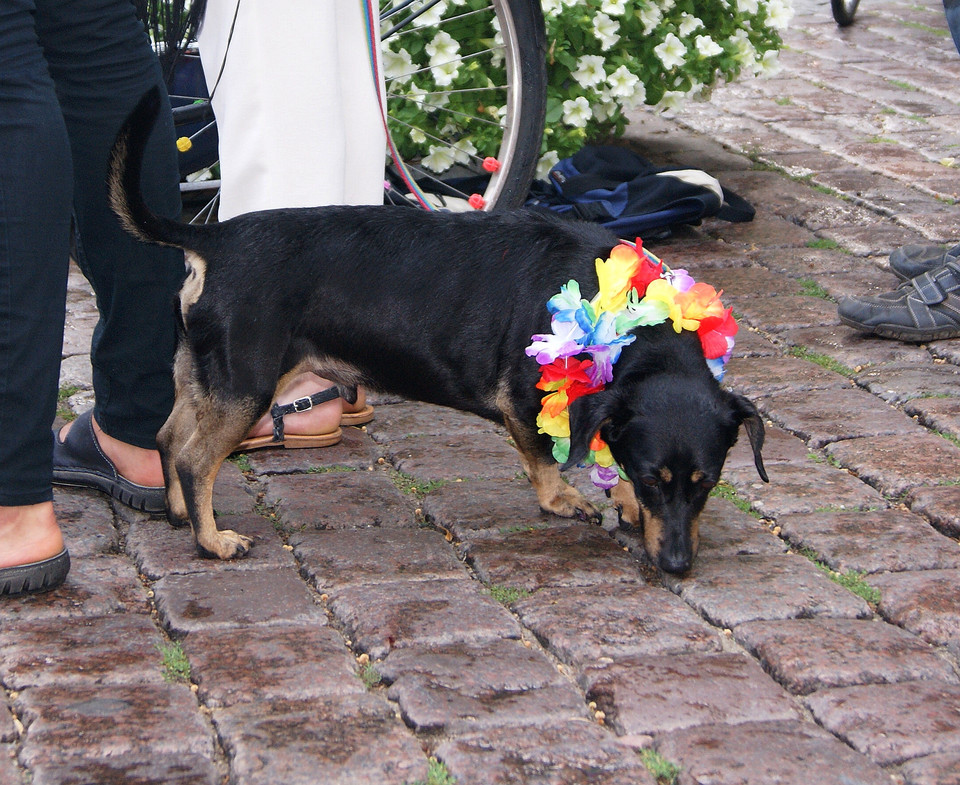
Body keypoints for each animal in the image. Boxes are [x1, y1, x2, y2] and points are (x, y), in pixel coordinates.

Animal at [110, 89, 764, 572]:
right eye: (658, 479)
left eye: (707, 484)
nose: (678, 566)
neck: (629, 321)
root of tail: (214, 239)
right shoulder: (524, 401)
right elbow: (547, 461)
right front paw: (566, 500)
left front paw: (620, 499)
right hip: (246, 384)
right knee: (195, 459)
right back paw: (211, 540)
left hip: (204, 376)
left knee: (167, 438)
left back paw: (178, 515)